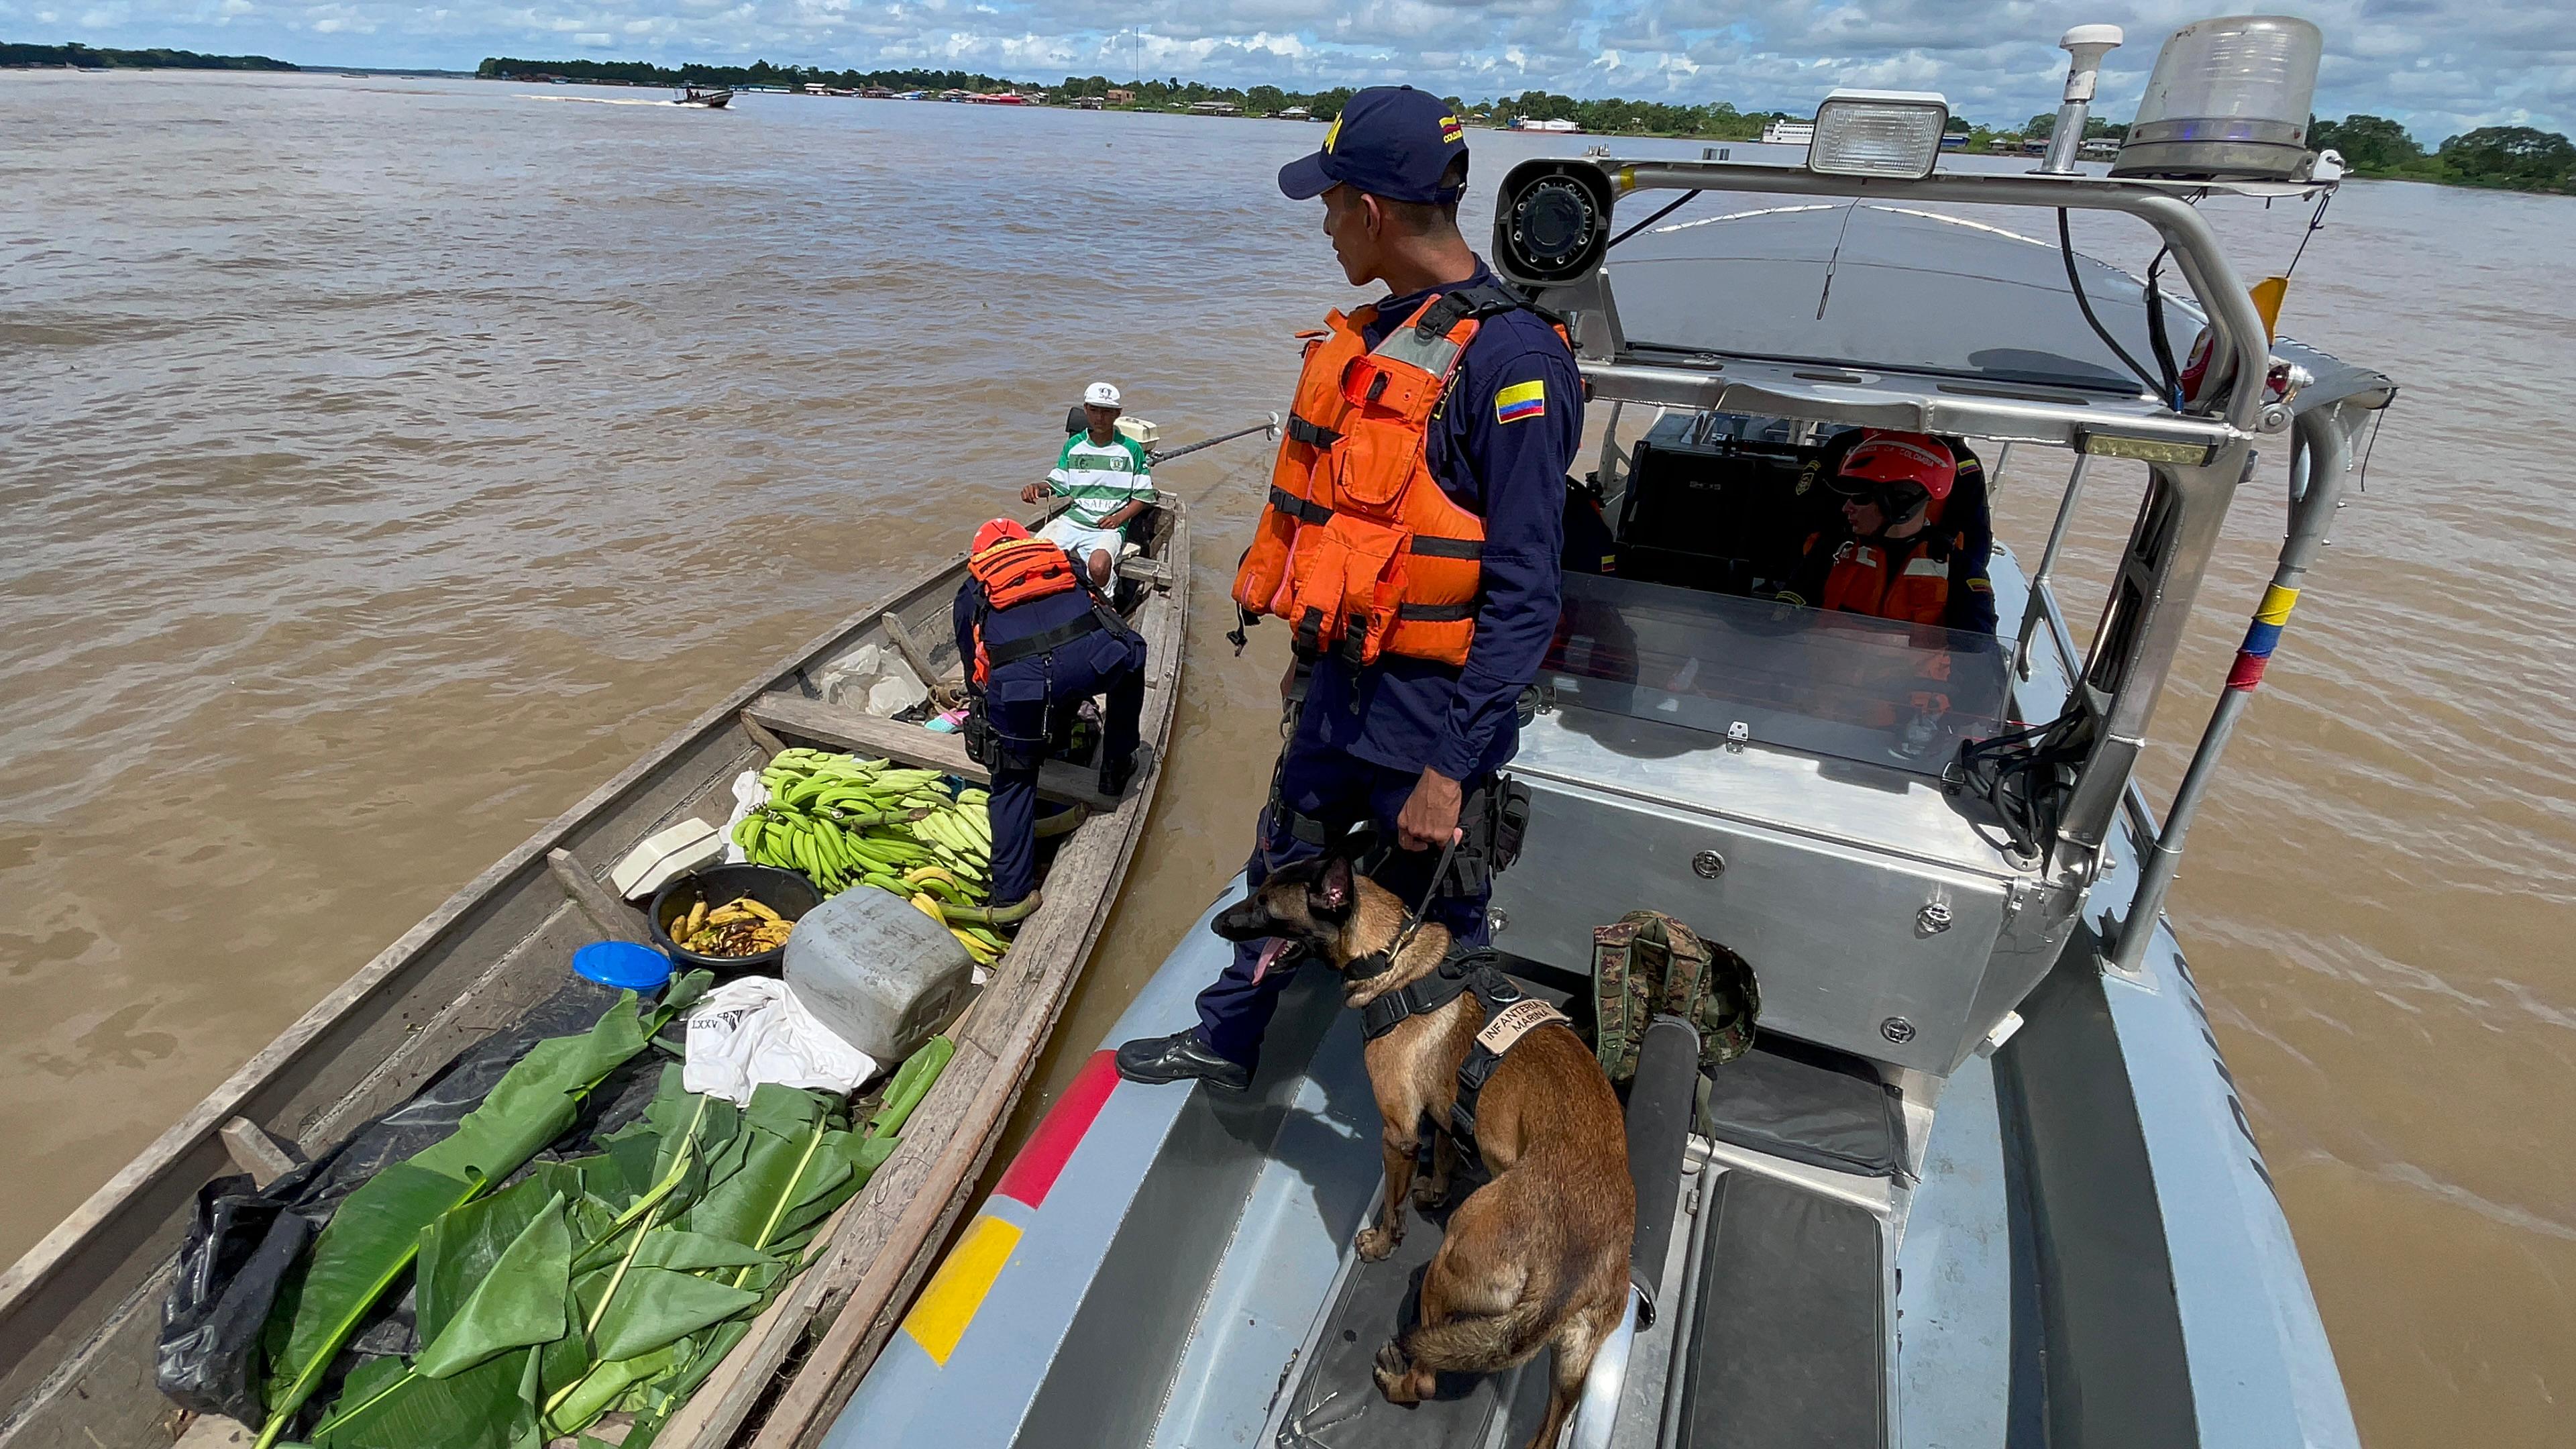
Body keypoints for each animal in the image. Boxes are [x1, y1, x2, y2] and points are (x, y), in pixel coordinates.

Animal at [1210, 845, 1627, 1444]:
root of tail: (1561, 1280)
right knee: (1547, 1429)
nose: (1218, 923)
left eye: (1266, 906)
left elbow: (1393, 1202)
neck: (1390, 955)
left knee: (1428, 1380)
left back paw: (1394, 1377)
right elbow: (1448, 1146)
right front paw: (1435, 1188)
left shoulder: (1398, 1133)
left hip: (1443, 1270)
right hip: (1570, 1366)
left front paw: (1383, 1240)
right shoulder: (1444, 1105)